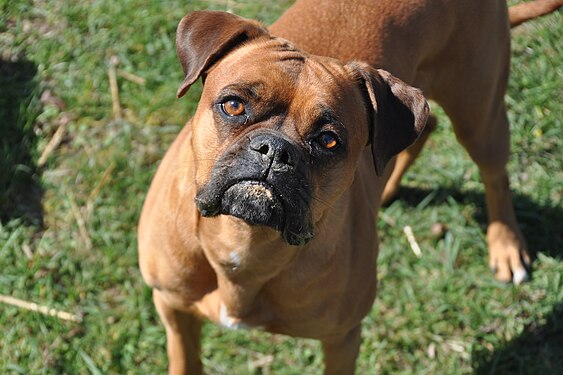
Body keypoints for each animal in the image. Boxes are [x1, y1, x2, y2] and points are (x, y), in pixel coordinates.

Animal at [139, 0, 560, 374]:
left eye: (329, 141)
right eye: (233, 105)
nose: (275, 149)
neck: (245, 239)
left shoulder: (342, 339)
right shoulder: (173, 310)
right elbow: (186, 361)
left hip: (479, 117)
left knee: (494, 175)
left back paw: (506, 246)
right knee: (425, 131)